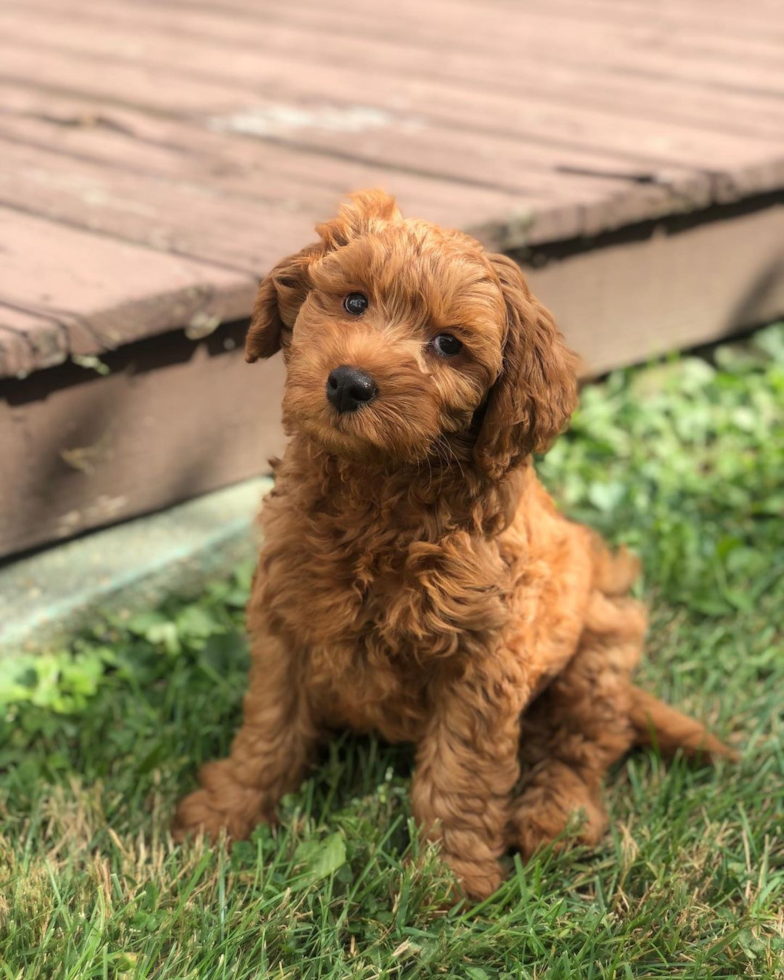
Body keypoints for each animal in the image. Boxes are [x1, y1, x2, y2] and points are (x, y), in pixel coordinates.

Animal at [173, 188, 736, 900]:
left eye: (448, 344)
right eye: (353, 301)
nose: (349, 383)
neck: (379, 493)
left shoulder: (484, 659)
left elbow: (460, 772)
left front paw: (447, 880)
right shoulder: (285, 618)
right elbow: (269, 727)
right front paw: (226, 815)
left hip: (601, 643)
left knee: (583, 742)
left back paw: (554, 818)